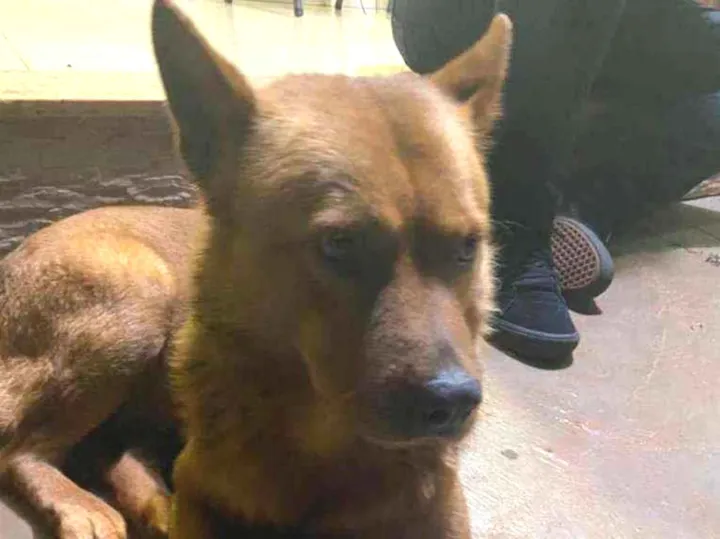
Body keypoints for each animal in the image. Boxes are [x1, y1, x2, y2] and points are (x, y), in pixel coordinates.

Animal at [0, 1, 512, 537]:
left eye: (467, 248)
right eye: (339, 244)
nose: (453, 402)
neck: (325, 451)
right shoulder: (200, 491)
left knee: (110, 451)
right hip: (137, 299)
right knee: (20, 451)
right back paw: (83, 506)